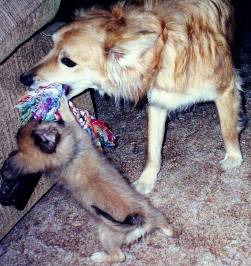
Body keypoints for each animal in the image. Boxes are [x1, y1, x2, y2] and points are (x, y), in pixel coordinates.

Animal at [0, 100, 173, 264]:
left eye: (36, 122)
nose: (34, 117)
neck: (68, 157)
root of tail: (140, 220)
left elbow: (67, 114)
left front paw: (62, 99)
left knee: (120, 256)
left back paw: (98, 257)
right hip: (144, 218)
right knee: (158, 232)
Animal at [20, 1, 244, 194]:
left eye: (67, 61)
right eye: (52, 46)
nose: (23, 78)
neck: (163, 52)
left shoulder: (226, 88)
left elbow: (227, 129)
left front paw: (233, 156)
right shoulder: (157, 103)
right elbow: (153, 149)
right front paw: (146, 180)